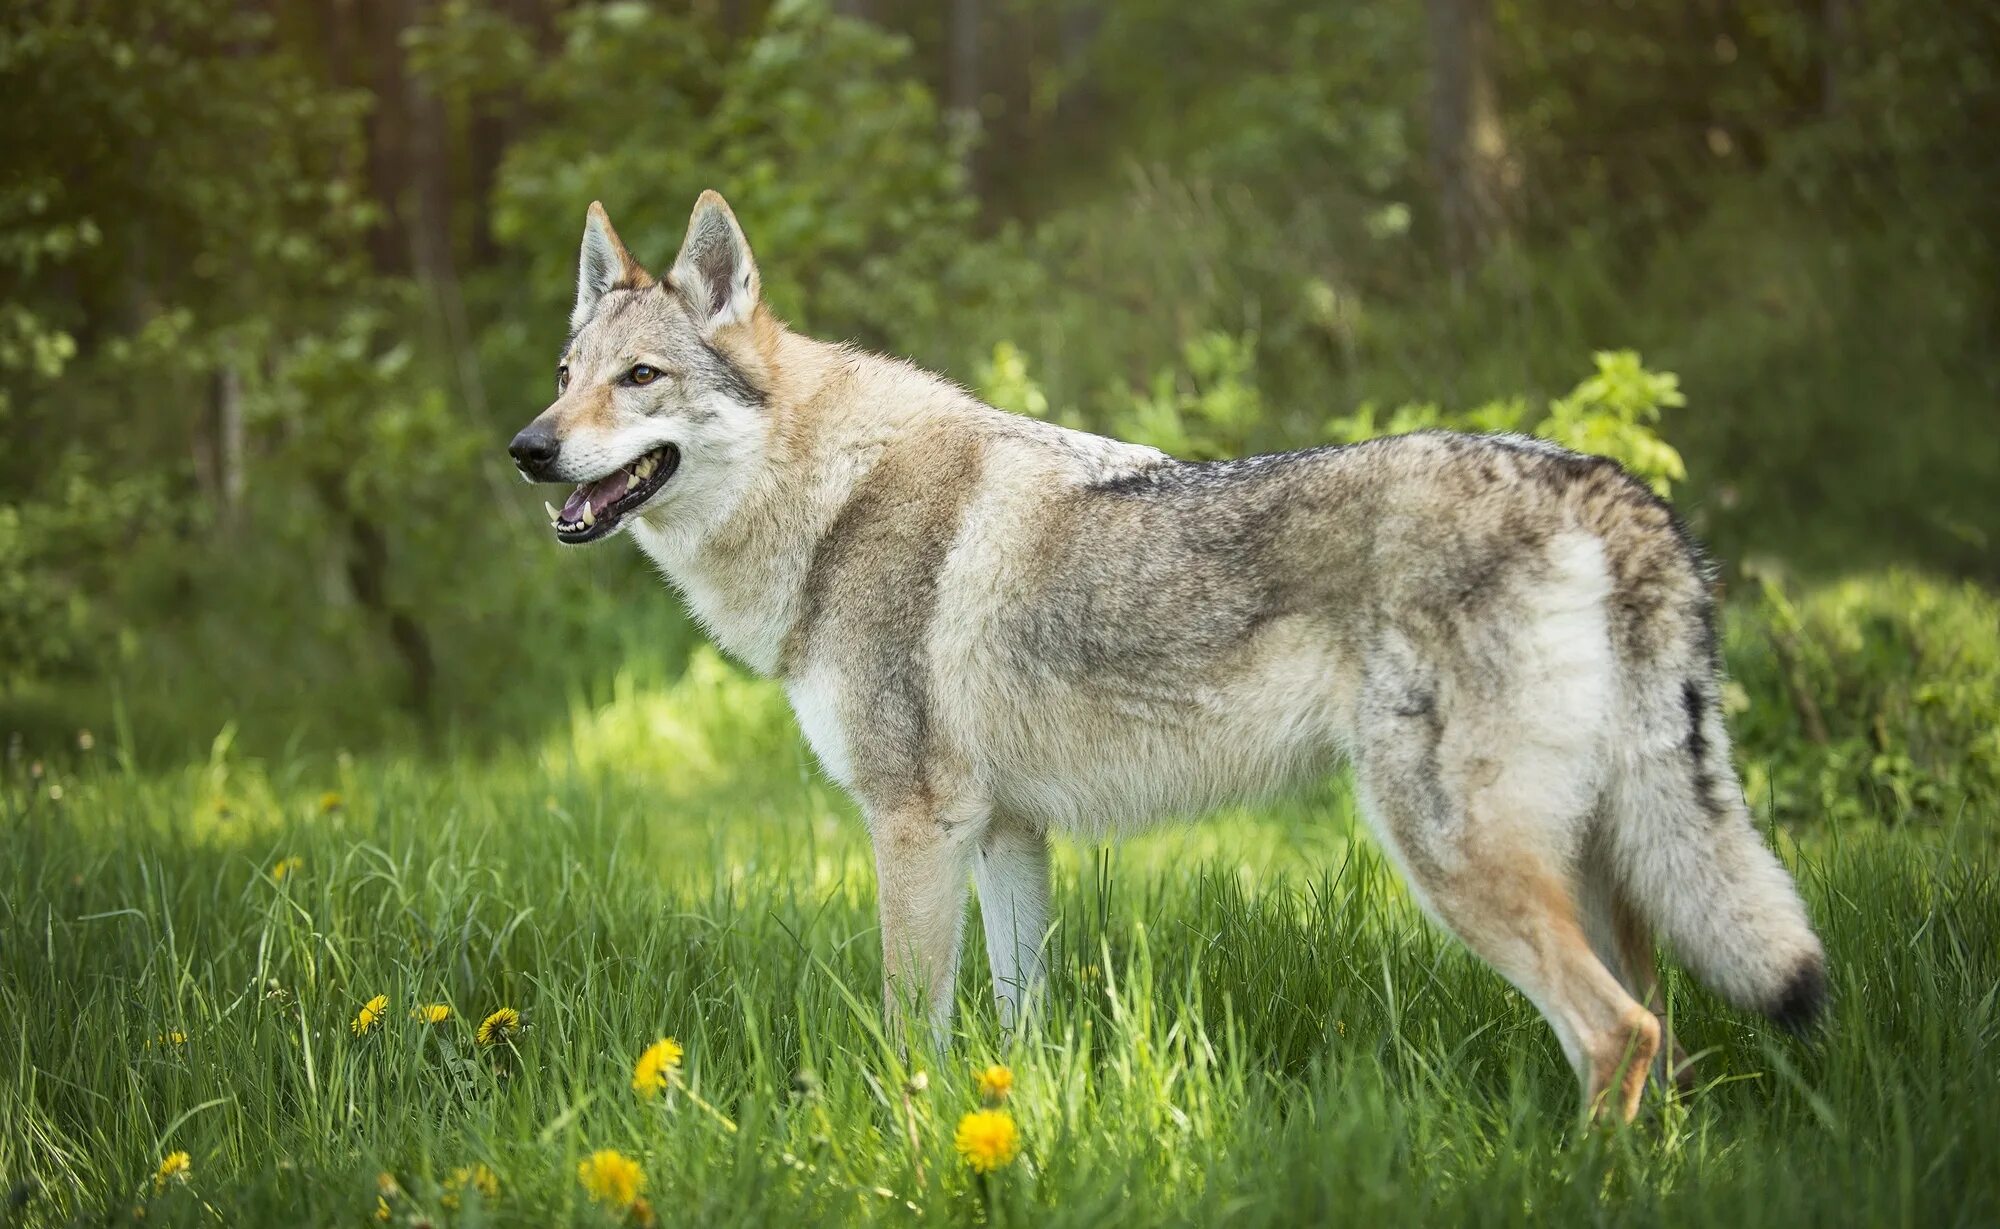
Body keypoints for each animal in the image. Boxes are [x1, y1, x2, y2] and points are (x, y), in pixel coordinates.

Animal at [504, 192, 1832, 1128]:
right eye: (564, 378)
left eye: (640, 378)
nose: (524, 448)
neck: (828, 500)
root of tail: (1608, 486)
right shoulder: (1003, 832)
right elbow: (1016, 1020)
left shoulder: (913, 824)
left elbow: (906, 1030)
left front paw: (904, 1140)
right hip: (1599, 862)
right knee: (1661, 1035)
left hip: (1454, 856)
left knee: (1617, 1033)